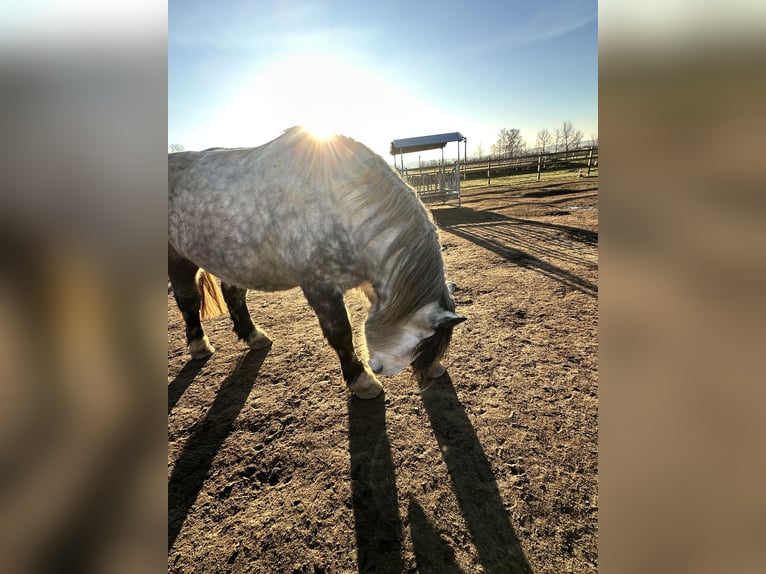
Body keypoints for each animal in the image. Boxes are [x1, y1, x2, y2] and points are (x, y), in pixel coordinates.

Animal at [168, 126, 465, 399]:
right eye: (418, 346)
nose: (383, 369)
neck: (343, 205)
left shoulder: (372, 282)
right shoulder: (320, 286)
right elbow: (340, 332)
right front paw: (361, 381)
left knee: (233, 295)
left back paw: (254, 336)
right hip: (178, 258)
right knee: (188, 300)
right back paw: (199, 346)